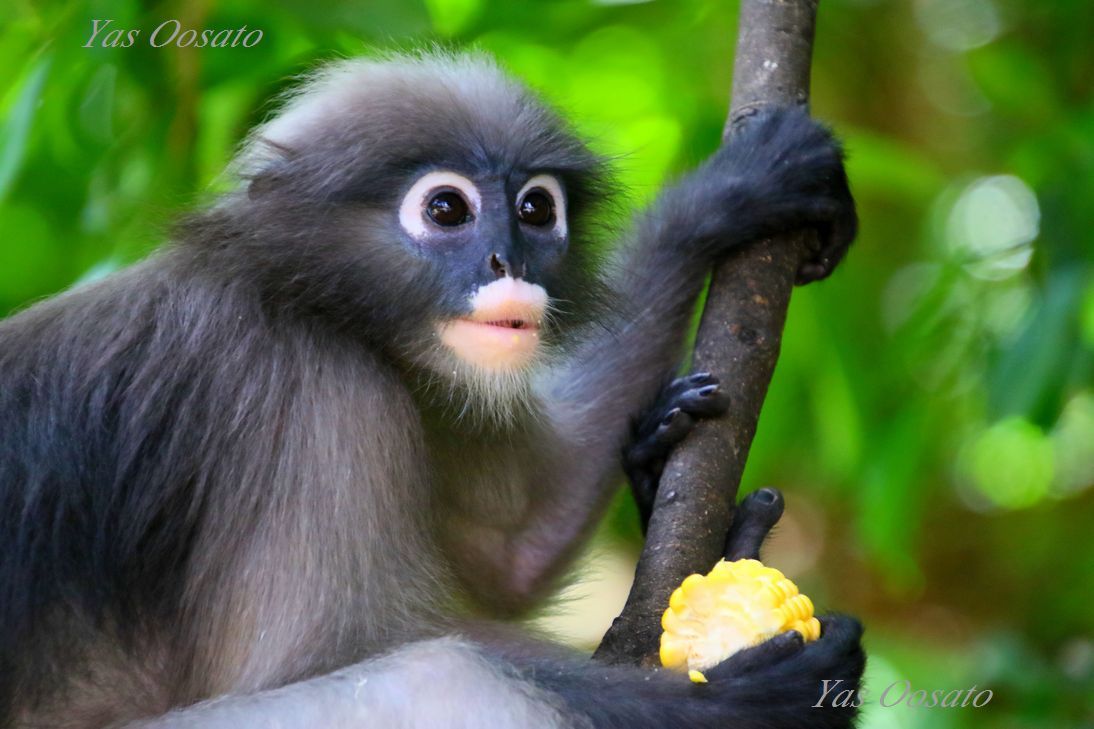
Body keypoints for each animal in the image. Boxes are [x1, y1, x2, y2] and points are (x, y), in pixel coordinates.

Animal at [0, 48, 862, 722]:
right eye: (447, 208)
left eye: (536, 208)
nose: (508, 262)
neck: (303, 301)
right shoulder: (310, 389)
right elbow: (327, 652)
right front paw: (737, 699)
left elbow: (514, 548)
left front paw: (721, 198)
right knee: (441, 674)